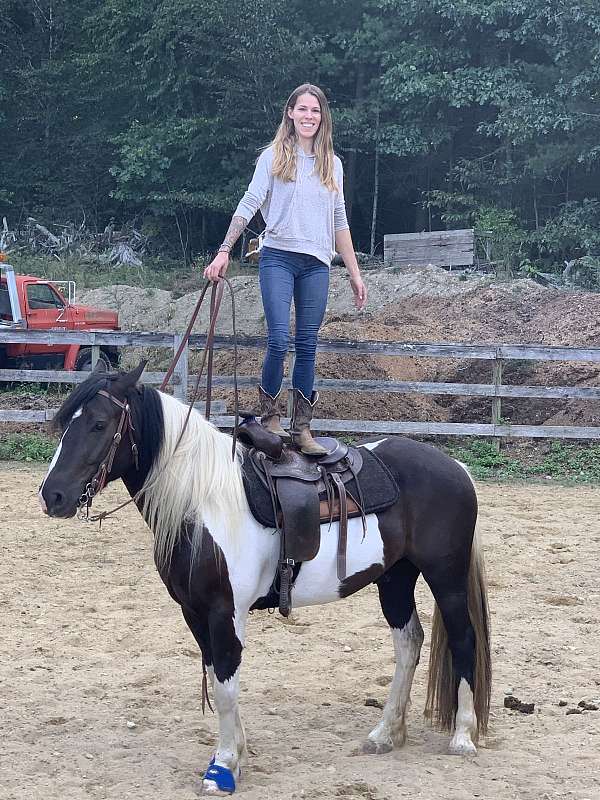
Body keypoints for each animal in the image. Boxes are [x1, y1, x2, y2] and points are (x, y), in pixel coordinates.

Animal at [41, 366, 492, 796]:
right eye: (66, 423)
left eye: (99, 424)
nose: (52, 496)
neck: (204, 505)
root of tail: (456, 468)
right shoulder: (194, 612)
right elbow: (219, 679)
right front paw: (236, 753)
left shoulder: (224, 611)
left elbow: (225, 684)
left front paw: (223, 768)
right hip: (394, 580)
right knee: (409, 643)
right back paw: (385, 734)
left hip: (446, 579)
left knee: (464, 639)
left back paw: (462, 737)